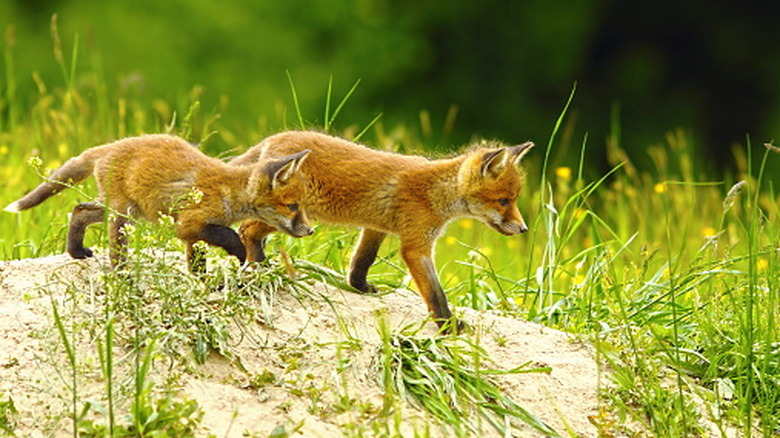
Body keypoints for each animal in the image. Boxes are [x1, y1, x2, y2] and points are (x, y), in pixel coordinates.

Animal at [4, 134, 313, 272]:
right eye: (293, 207)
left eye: (301, 207)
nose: (310, 231)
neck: (229, 190)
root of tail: (109, 145)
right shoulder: (190, 225)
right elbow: (230, 236)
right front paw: (239, 254)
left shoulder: (193, 236)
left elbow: (197, 266)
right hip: (122, 215)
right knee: (111, 243)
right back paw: (121, 273)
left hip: (122, 210)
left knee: (79, 210)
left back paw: (76, 251)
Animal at [229, 131, 534, 332]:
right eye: (503, 201)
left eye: (514, 199)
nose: (523, 228)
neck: (435, 192)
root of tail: (275, 137)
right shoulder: (416, 245)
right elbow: (435, 291)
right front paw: (446, 323)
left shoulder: (376, 229)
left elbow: (362, 261)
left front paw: (360, 288)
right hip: (293, 216)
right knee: (246, 229)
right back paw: (258, 265)